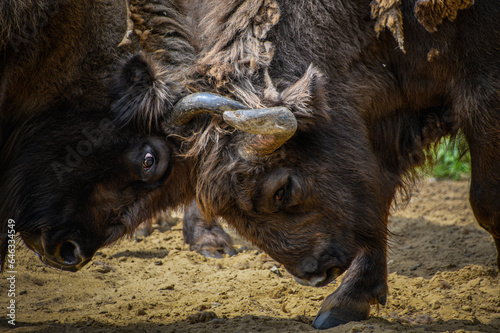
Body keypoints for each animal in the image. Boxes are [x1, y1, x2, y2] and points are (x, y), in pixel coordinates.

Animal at [0, 0, 500, 330]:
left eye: (282, 190)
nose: (318, 271)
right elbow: (376, 201)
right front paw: (344, 303)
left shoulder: (483, 89)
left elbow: (484, 204)